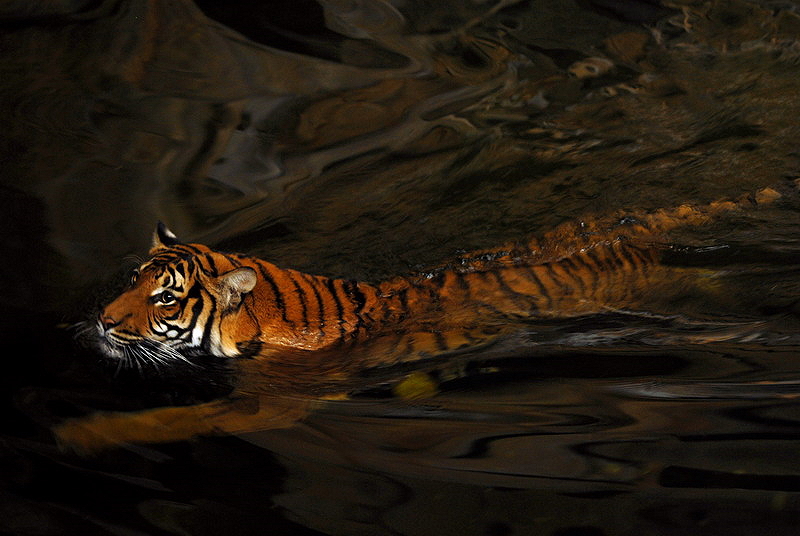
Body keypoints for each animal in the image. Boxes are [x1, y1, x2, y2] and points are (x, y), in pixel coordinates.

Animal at [54, 184, 790, 452]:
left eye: (165, 299)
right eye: (132, 279)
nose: (103, 321)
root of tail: (622, 227)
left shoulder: (268, 406)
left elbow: (177, 420)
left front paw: (79, 434)